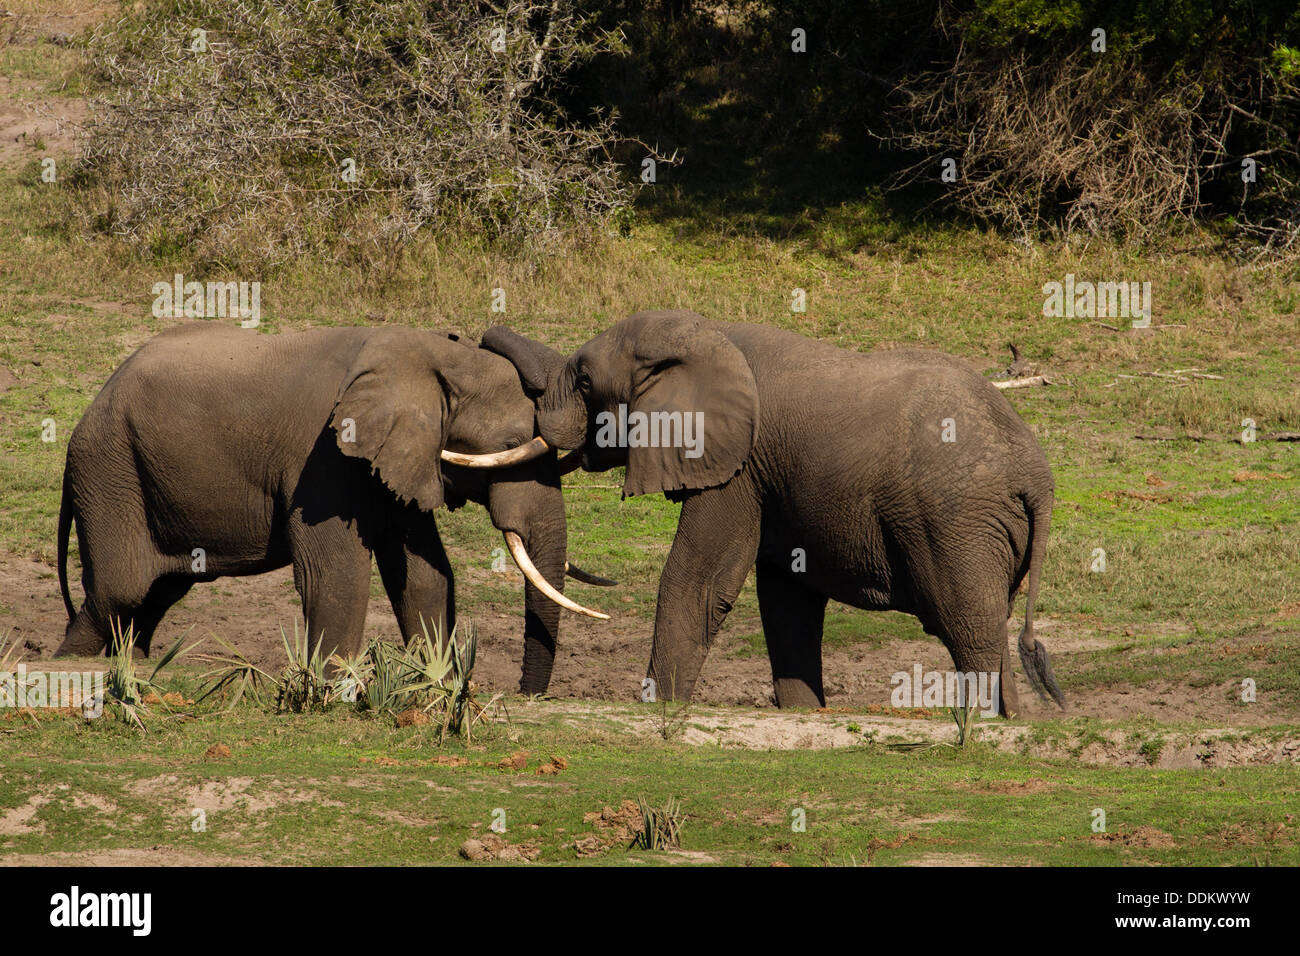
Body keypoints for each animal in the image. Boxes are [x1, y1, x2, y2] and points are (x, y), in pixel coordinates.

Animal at [53, 323, 611, 697]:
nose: (526, 695)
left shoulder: (398, 459)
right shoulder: (323, 454)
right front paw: (335, 689)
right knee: (120, 591)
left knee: (155, 596)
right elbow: (336, 571)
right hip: (109, 469)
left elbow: (424, 572)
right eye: (513, 446)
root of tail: (93, 404)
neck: (429, 357)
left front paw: (438, 683)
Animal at [486, 314, 1066, 717]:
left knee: (969, 627)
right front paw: (805, 713)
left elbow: (698, 580)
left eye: (585, 382)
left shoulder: (738, 468)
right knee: (991, 625)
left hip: (954, 522)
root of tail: (1036, 476)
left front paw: (661, 708)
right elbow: (787, 598)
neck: (704, 332)